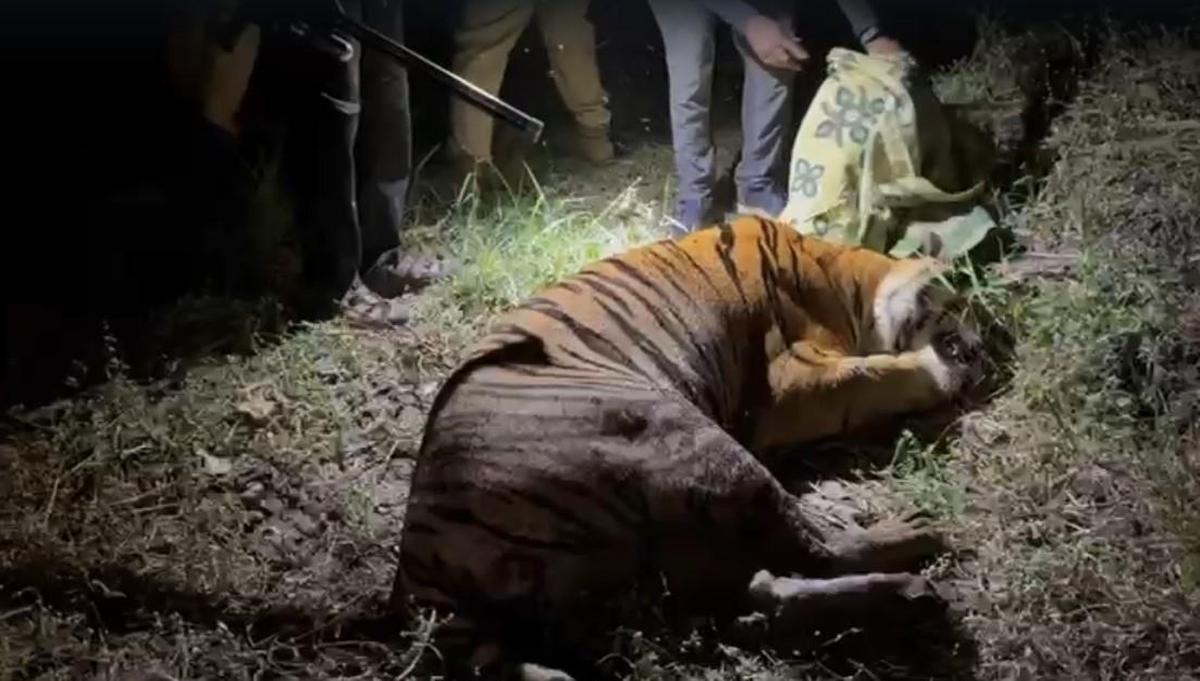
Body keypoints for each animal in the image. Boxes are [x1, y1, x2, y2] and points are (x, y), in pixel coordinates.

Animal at [390, 216, 984, 680]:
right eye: (961, 307)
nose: (980, 353)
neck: (847, 276)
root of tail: (419, 560)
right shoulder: (792, 383)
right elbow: (878, 374)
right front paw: (940, 371)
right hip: (692, 439)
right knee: (817, 548)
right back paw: (914, 550)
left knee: (764, 587)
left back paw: (911, 598)